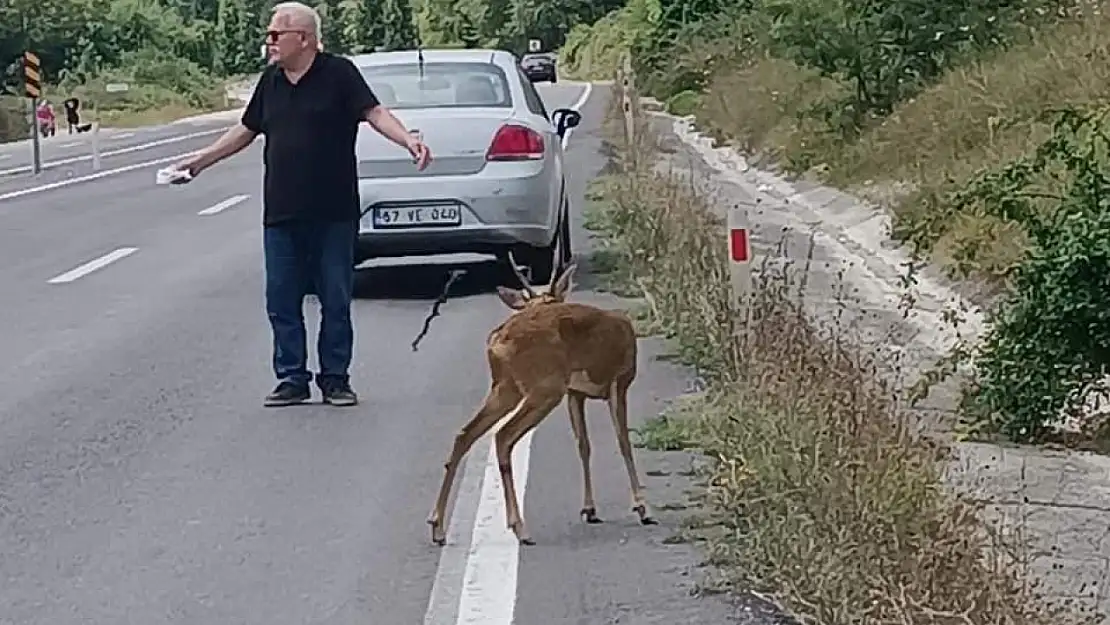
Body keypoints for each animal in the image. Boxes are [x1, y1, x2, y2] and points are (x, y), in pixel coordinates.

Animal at [421, 251, 648, 546]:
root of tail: (497, 341)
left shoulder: (575, 393)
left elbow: (583, 445)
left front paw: (590, 509)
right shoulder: (619, 381)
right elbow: (624, 442)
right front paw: (641, 506)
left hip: (507, 386)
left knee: (465, 434)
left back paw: (437, 526)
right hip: (544, 388)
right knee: (503, 436)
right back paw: (519, 527)